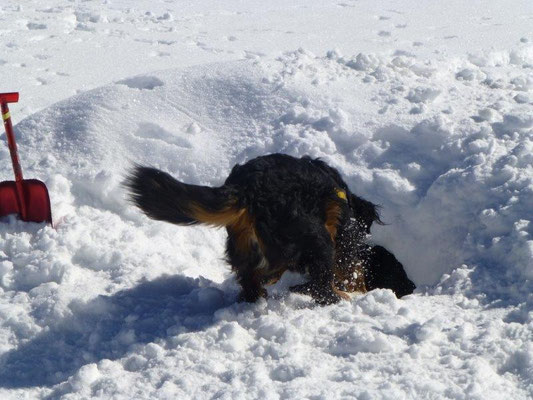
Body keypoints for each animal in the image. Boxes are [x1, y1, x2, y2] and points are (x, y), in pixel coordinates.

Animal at [125, 153, 416, 304]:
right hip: (316, 239)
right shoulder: (344, 242)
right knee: (317, 287)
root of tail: (247, 189)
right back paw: (336, 296)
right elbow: (351, 268)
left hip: (244, 246)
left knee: (253, 281)